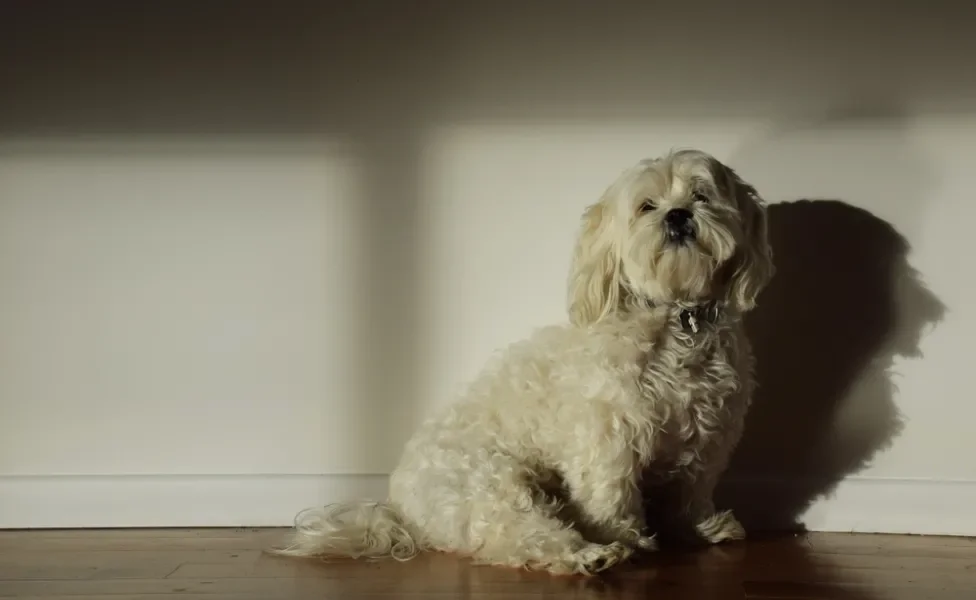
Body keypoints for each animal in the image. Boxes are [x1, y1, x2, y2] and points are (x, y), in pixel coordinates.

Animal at [270, 150, 772, 576]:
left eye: (701, 195)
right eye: (646, 206)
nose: (678, 216)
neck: (677, 317)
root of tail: (401, 509)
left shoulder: (709, 433)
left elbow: (693, 491)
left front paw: (701, 528)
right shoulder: (608, 434)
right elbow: (609, 492)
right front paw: (628, 536)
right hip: (493, 484)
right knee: (517, 537)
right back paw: (589, 554)